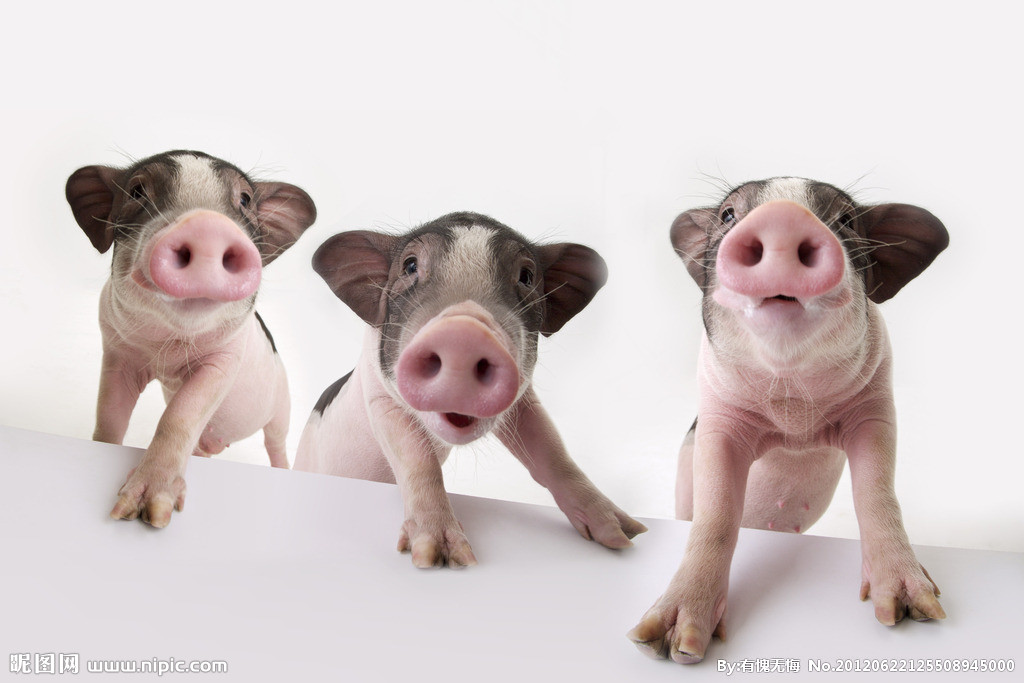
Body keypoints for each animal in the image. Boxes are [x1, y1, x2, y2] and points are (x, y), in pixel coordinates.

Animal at [65, 150, 316, 528]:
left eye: (245, 200)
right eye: (137, 191)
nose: (206, 224)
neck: (166, 349)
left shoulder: (225, 360)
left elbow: (181, 414)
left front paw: (153, 516)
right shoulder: (117, 351)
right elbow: (109, 415)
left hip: (281, 409)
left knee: (276, 444)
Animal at [295, 212, 647, 567]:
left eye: (527, 276)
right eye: (409, 266)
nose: (463, 332)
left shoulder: (522, 403)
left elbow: (551, 451)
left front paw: (626, 535)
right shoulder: (379, 397)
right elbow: (417, 459)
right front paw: (438, 558)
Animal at [627, 177, 949, 663]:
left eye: (846, 219)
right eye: (728, 214)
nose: (782, 216)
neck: (795, 413)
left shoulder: (875, 410)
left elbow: (877, 495)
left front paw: (918, 612)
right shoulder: (720, 420)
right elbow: (716, 515)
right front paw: (668, 645)